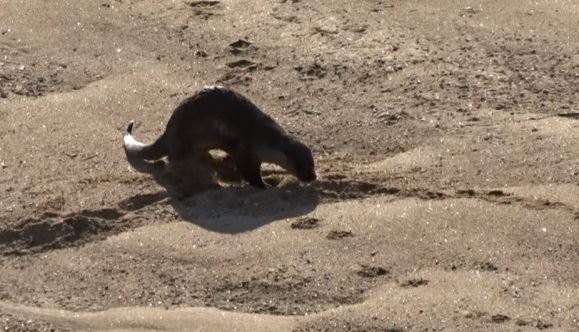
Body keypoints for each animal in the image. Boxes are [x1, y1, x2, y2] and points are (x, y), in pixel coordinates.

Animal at [123, 85, 318, 189]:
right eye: (299, 164)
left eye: (312, 163)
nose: (312, 177)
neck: (260, 136)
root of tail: (168, 130)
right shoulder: (246, 150)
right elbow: (249, 174)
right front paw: (266, 186)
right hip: (182, 142)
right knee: (174, 161)